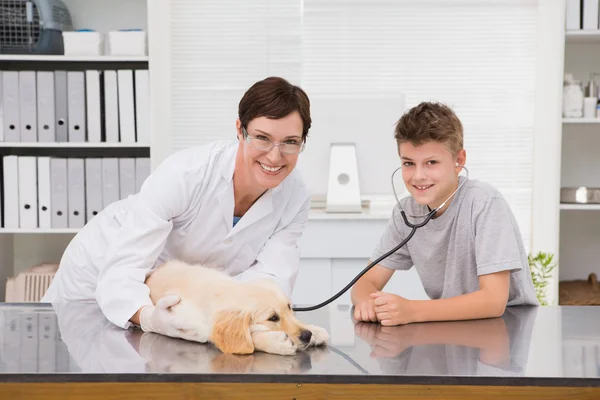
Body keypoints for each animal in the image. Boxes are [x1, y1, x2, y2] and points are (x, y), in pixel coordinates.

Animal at [145, 260, 328, 356]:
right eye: (273, 318)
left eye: (289, 308)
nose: (307, 335)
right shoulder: (196, 325)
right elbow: (249, 339)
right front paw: (276, 341)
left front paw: (314, 330)